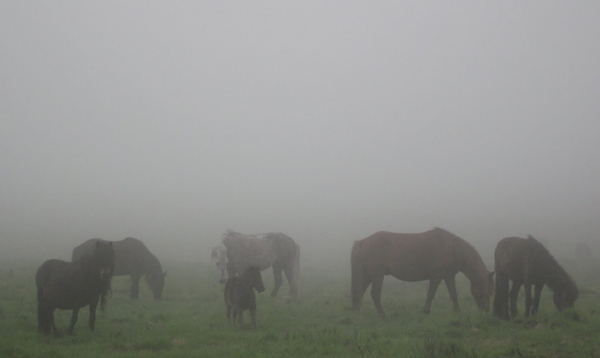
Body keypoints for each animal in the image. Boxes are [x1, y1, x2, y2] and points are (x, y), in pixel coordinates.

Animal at [352, 228, 492, 318]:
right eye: (486, 289)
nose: (486, 310)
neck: (451, 248)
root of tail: (362, 242)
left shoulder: (448, 276)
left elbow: (453, 294)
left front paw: (458, 311)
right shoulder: (436, 276)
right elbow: (430, 294)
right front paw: (426, 311)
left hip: (367, 276)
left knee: (359, 291)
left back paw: (357, 312)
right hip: (377, 276)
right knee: (374, 294)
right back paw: (382, 314)